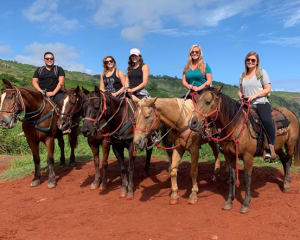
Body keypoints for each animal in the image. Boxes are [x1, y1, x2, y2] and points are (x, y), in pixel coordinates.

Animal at [190, 86, 300, 214]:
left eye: (208, 102)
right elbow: (232, 178)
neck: (236, 126)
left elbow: (247, 178)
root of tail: (291, 113)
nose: (192, 123)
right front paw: (229, 201)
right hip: (277, 147)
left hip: (290, 144)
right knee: (283, 159)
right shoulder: (229, 156)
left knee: (288, 160)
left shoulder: (248, 156)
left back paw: (286, 184)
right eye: (197, 101)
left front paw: (246, 203)